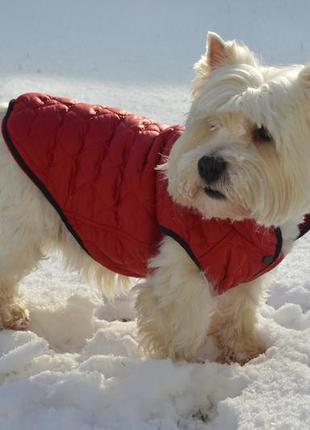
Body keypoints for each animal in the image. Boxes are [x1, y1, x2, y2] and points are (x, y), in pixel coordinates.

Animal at [0, 33, 310, 362]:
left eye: (263, 133)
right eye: (212, 124)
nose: (208, 165)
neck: (235, 218)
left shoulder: (245, 276)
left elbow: (239, 314)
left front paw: (244, 352)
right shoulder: (180, 273)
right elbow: (181, 331)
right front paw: (181, 368)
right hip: (18, 229)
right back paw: (11, 314)